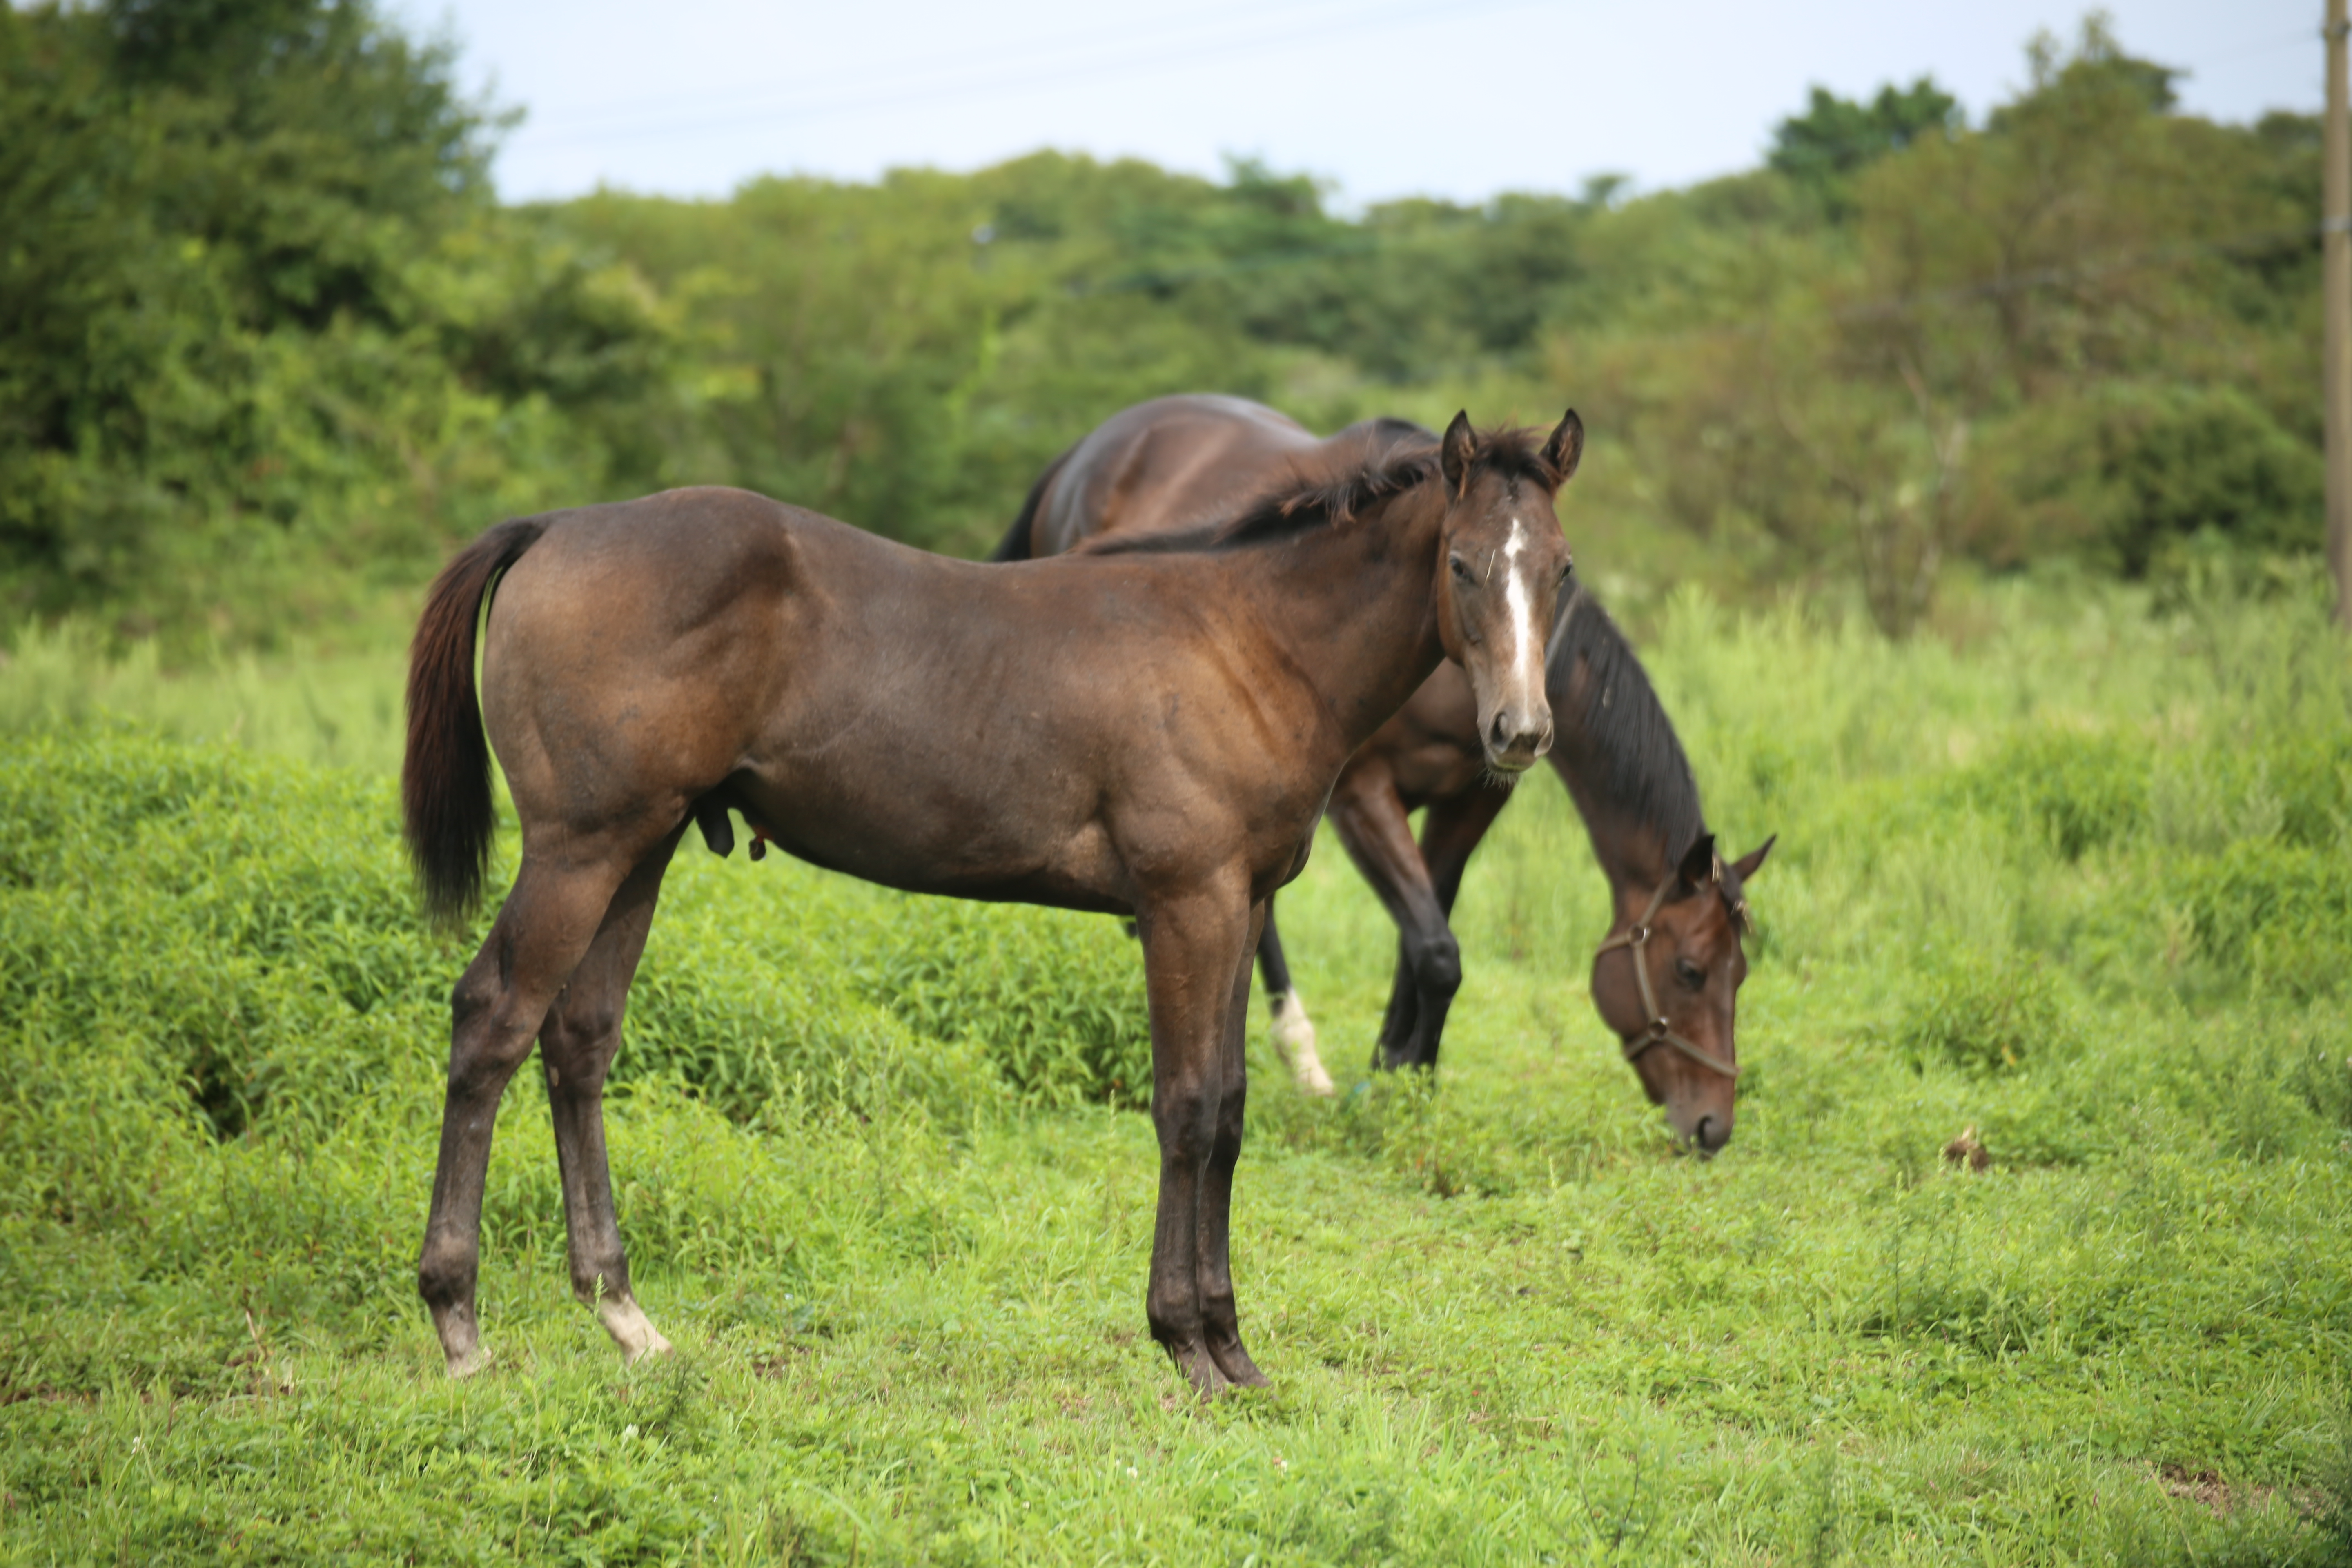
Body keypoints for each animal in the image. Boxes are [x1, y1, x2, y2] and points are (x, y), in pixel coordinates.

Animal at [404, 411, 1580, 1392]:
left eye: (1561, 570)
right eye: (1464, 564)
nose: (1521, 732)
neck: (1246, 641)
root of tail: (556, 528)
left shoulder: (1245, 907)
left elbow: (1236, 1108)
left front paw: (1236, 1346)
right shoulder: (1186, 902)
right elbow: (1187, 1108)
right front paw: (1186, 1344)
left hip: (640, 849)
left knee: (580, 1042)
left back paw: (626, 1318)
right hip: (579, 849)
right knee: (494, 1023)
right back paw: (459, 1325)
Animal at [1002, 392, 1768, 1152]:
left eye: (1564, 567)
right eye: (1689, 971)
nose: (1712, 1125)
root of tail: (1082, 454)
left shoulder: (1474, 797)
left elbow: (1427, 939)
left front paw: (1403, 1074)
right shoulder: (1361, 797)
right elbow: (1435, 948)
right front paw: (1391, 1081)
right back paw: (1298, 1055)